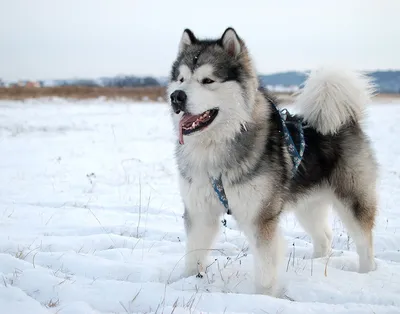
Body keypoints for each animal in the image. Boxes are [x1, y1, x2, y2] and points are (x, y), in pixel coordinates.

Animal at [166, 27, 378, 296]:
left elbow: (266, 267)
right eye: (181, 79)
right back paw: (316, 265)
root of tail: (346, 120)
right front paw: (188, 283)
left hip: (353, 198)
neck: (216, 146)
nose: (176, 97)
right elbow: (194, 255)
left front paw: (265, 297)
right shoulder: (199, 211)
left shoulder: (261, 217)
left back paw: (367, 274)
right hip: (308, 205)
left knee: (364, 242)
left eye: (207, 81)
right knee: (325, 236)